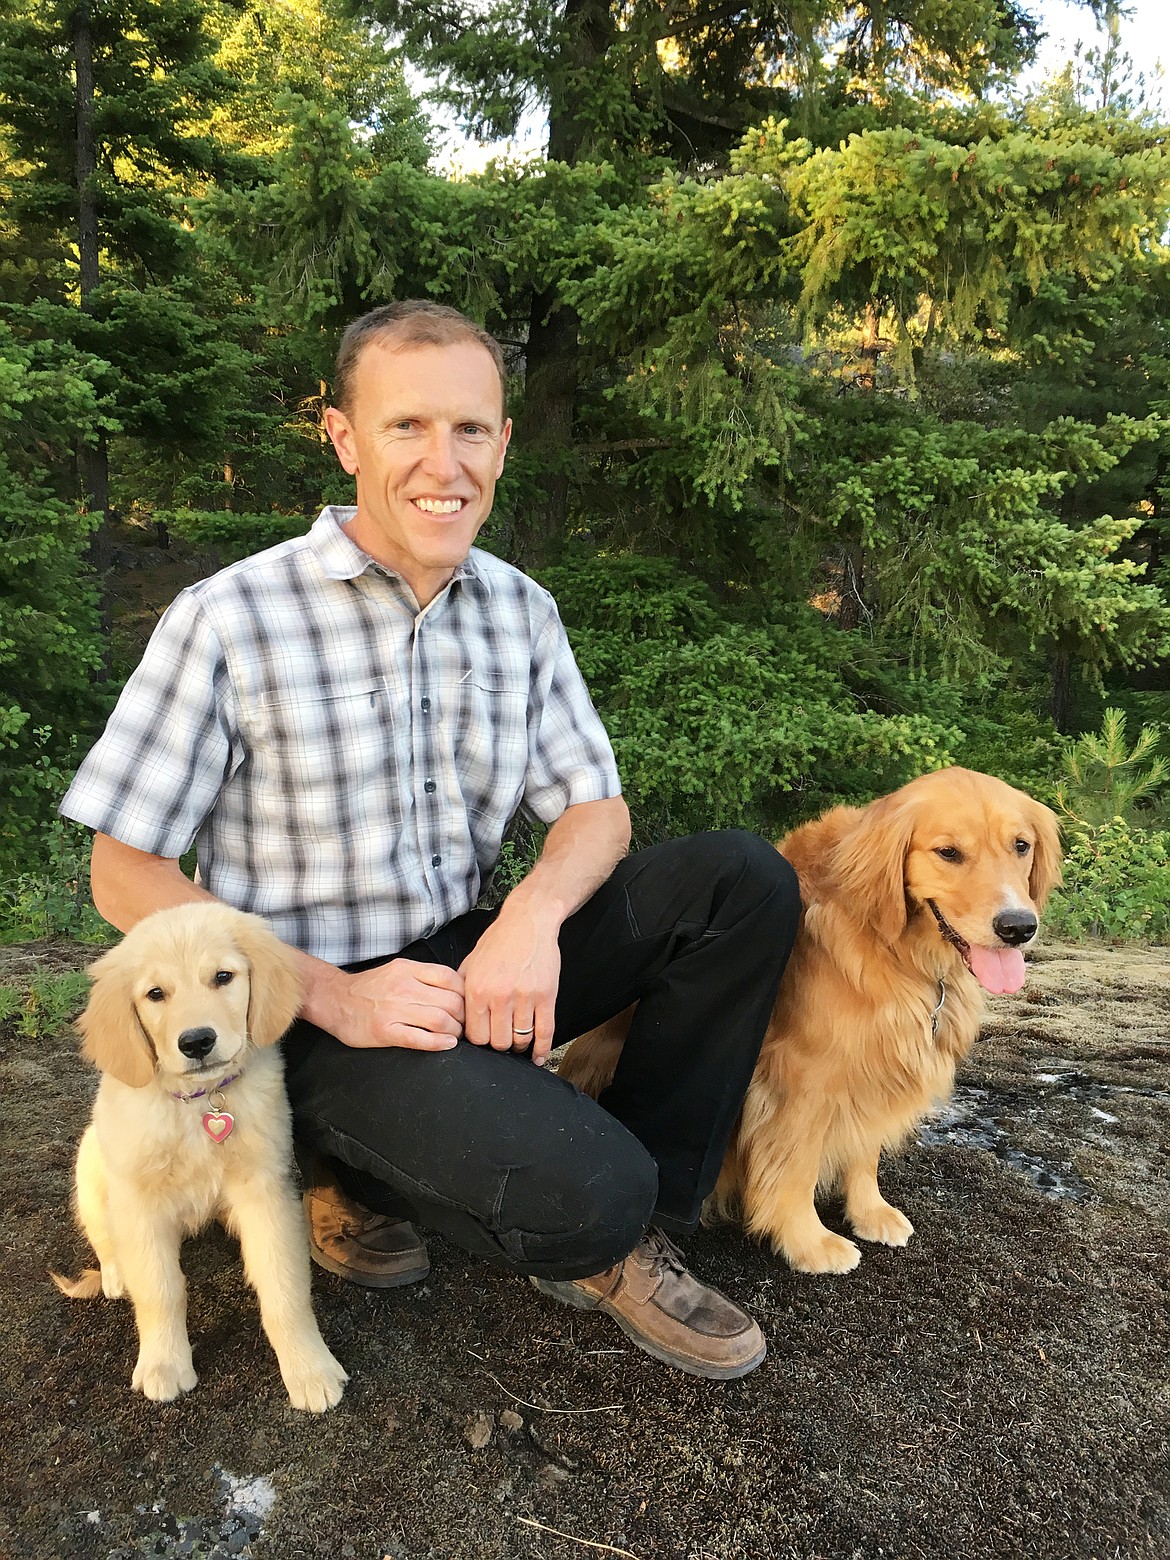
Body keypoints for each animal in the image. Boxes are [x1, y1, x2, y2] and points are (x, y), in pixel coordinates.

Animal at [54, 898, 347, 1410]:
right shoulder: (140, 1202)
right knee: (105, 1239)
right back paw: (115, 1274)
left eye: (223, 977)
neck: (200, 1103)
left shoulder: (267, 1190)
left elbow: (284, 1287)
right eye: (155, 994)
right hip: (90, 1167)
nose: (196, 1042)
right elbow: (160, 1289)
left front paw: (309, 1367)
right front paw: (163, 1364)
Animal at [558, 773, 1060, 1272]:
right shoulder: (801, 1078)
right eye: (949, 852)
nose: (1019, 926)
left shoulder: (877, 1060)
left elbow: (865, 1149)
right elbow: (795, 1166)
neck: (896, 949)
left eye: (1021, 846)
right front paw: (808, 1241)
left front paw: (869, 1212)